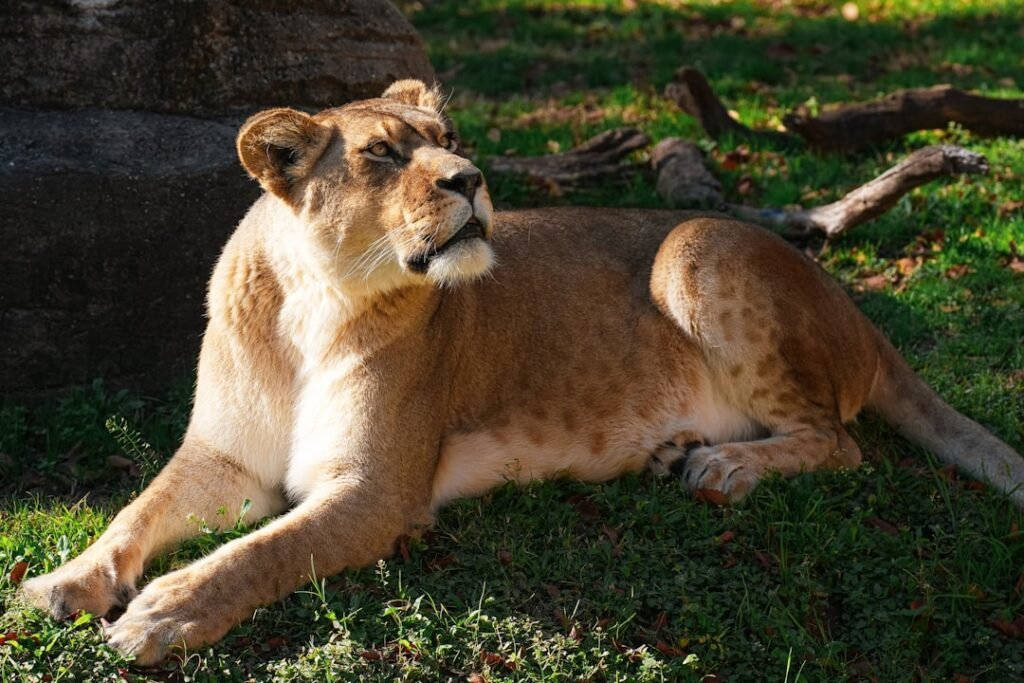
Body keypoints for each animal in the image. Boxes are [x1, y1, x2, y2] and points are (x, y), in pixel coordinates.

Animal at [22, 80, 1024, 665]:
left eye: (449, 135)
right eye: (382, 154)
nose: (470, 177)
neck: (313, 301)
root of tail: (854, 307)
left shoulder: (375, 489)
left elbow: (259, 550)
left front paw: (163, 611)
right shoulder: (225, 458)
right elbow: (137, 508)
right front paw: (64, 581)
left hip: (697, 245)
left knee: (841, 440)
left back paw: (722, 466)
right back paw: (679, 452)